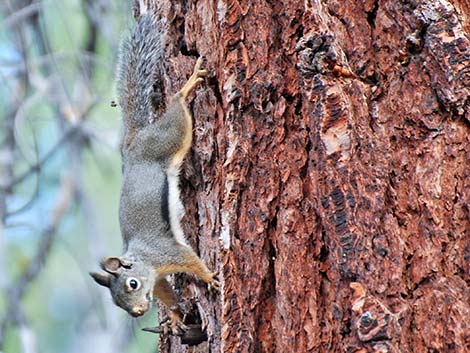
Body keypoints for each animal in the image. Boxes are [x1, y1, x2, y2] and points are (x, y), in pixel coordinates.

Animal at [90, 1, 218, 334]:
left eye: (132, 284)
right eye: (116, 302)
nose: (137, 312)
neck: (144, 259)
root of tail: (133, 143)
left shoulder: (168, 252)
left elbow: (192, 261)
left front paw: (210, 278)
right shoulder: (159, 278)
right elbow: (166, 293)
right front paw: (173, 317)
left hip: (171, 136)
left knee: (177, 107)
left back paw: (187, 86)